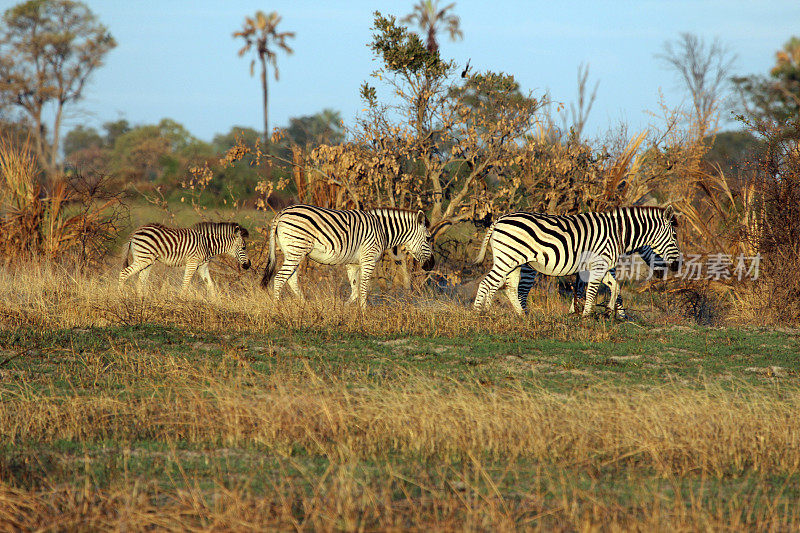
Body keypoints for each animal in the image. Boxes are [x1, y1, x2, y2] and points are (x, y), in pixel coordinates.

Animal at [118, 221, 250, 294]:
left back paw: (141, 300)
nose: (248, 265)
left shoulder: (202, 266)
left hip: (147, 261)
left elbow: (210, 285)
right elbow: (185, 284)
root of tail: (135, 232)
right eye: (244, 248)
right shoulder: (192, 263)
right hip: (143, 258)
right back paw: (121, 296)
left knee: (140, 281)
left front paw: (216, 303)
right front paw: (182, 300)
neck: (207, 244)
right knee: (124, 273)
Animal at [260, 204, 438, 308]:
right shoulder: (368, 259)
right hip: (296, 249)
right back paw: (277, 310)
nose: (432, 265)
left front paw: (344, 309)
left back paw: (305, 305)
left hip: (292, 252)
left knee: (291, 280)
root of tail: (281, 213)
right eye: (429, 238)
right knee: (280, 278)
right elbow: (364, 288)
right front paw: (364, 313)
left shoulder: (353, 263)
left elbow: (355, 289)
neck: (382, 230)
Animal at [516, 243, 664, 318]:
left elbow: (581, 288)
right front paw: (621, 314)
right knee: (522, 290)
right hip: (528, 269)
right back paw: (524, 314)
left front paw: (575, 310)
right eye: (658, 251)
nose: (661, 273)